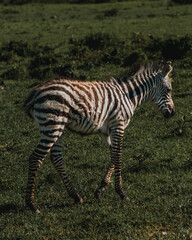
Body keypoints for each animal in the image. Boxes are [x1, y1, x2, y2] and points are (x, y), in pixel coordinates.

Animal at [23, 61, 175, 213]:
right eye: (169, 90)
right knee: (35, 158)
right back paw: (31, 204)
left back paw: (75, 196)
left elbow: (113, 156)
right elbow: (118, 156)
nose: (172, 113)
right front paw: (121, 192)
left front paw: (100, 189)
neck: (128, 95)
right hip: (52, 125)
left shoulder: (106, 131)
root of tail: (36, 93)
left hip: (56, 127)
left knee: (56, 158)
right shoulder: (118, 125)